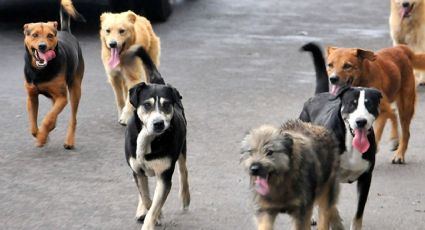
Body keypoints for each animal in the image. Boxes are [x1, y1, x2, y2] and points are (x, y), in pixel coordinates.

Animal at [23, 0, 86, 149]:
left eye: (50, 36)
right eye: (34, 35)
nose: (42, 46)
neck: (40, 70)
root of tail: (66, 31)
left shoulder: (62, 98)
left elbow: (48, 118)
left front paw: (42, 137)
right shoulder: (31, 96)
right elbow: (33, 125)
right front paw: (41, 135)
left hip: (75, 90)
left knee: (73, 118)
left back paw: (69, 141)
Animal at [122, 45, 189, 230]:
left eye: (166, 105)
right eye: (147, 105)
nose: (158, 123)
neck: (148, 138)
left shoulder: (164, 175)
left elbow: (154, 205)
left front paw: (153, 219)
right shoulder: (137, 170)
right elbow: (146, 198)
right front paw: (153, 213)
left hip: (182, 148)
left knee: (184, 171)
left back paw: (185, 197)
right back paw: (141, 210)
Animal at [298, 42, 380, 229]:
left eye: (369, 105)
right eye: (352, 104)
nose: (361, 121)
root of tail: (318, 95)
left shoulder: (366, 178)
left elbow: (358, 213)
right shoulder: (329, 177)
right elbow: (328, 208)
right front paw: (334, 221)